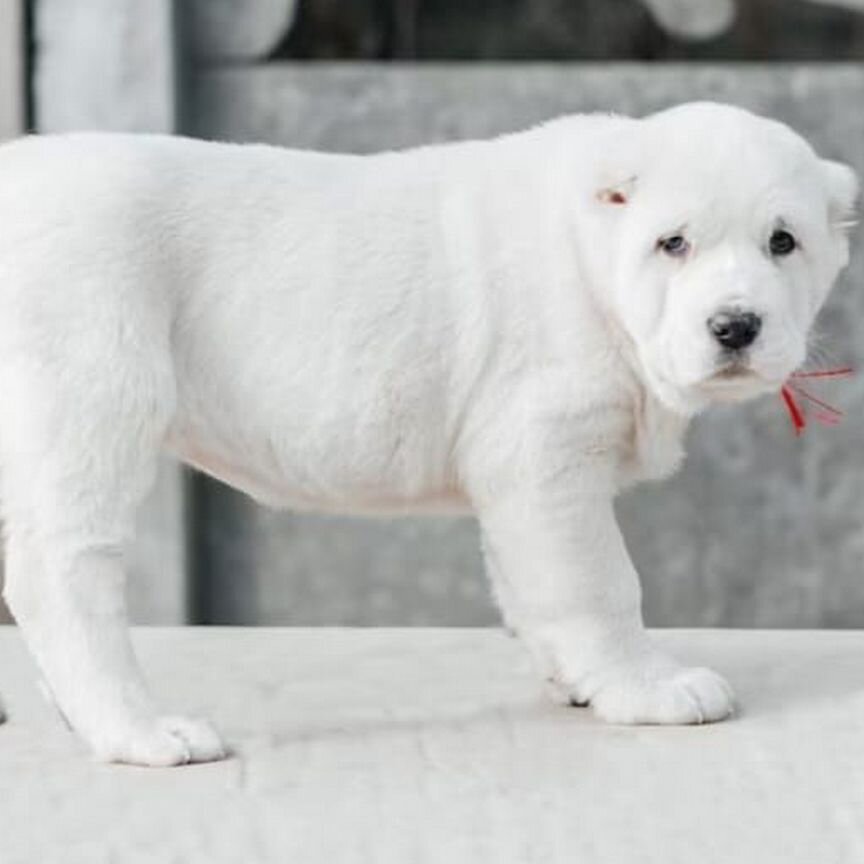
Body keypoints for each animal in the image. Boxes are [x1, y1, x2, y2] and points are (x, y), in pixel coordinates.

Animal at [0, 101, 852, 764]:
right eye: (672, 242)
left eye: (784, 242)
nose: (736, 325)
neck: (591, 262)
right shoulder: (547, 455)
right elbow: (599, 583)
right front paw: (647, 685)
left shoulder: (522, 479)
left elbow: (529, 581)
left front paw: (575, 678)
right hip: (90, 378)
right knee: (61, 566)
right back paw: (138, 731)